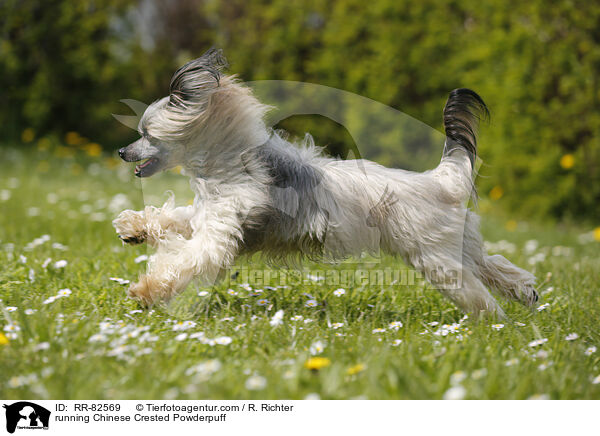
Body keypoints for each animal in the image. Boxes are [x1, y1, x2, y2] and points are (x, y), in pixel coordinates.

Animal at [113, 48, 540, 316]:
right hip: (457, 246)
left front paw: (145, 291)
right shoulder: (207, 216)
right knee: (495, 266)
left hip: (437, 260)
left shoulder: (218, 235)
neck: (230, 163)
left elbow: (184, 260)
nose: (121, 151)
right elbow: (171, 217)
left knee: (477, 292)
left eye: (146, 133)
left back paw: (493, 323)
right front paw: (133, 227)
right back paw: (526, 295)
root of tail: (441, 181)